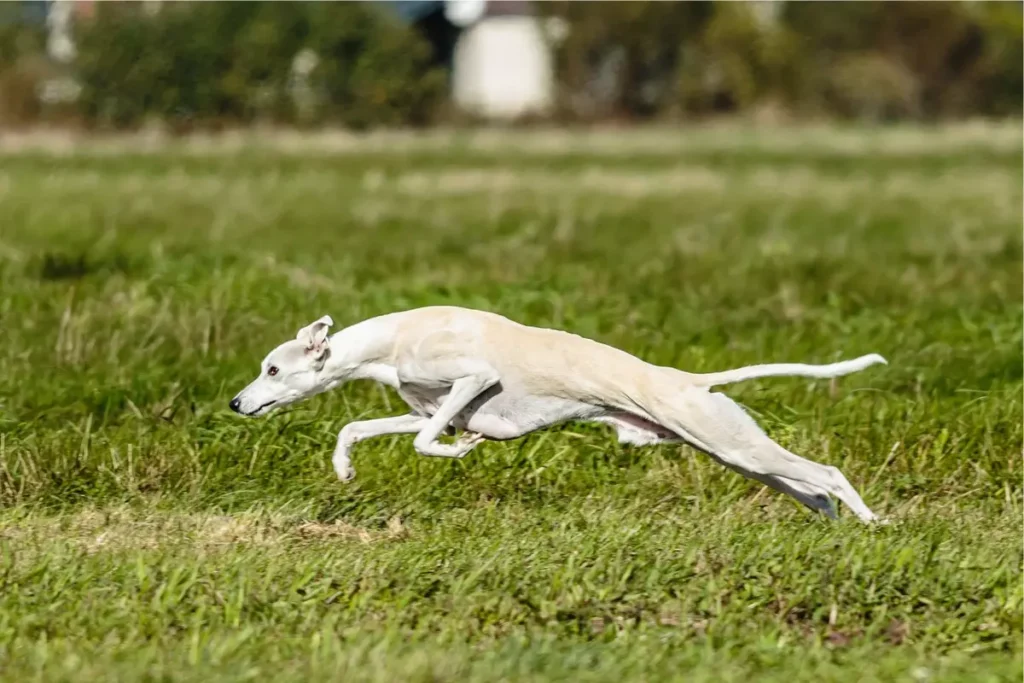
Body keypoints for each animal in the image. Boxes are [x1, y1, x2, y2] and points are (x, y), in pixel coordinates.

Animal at [228, 309, 884, 524]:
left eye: (273, 369)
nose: (235, 403)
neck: (394, 337)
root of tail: (692, 381)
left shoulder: (472, 380)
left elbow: (426, 442)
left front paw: (456, 453)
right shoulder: (433, 408)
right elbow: (361, 428)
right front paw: (343, 468)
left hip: (732, 444)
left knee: (827, 474)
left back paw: (873, 525)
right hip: (736, 453)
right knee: (809, 489)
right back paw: (833, 523)